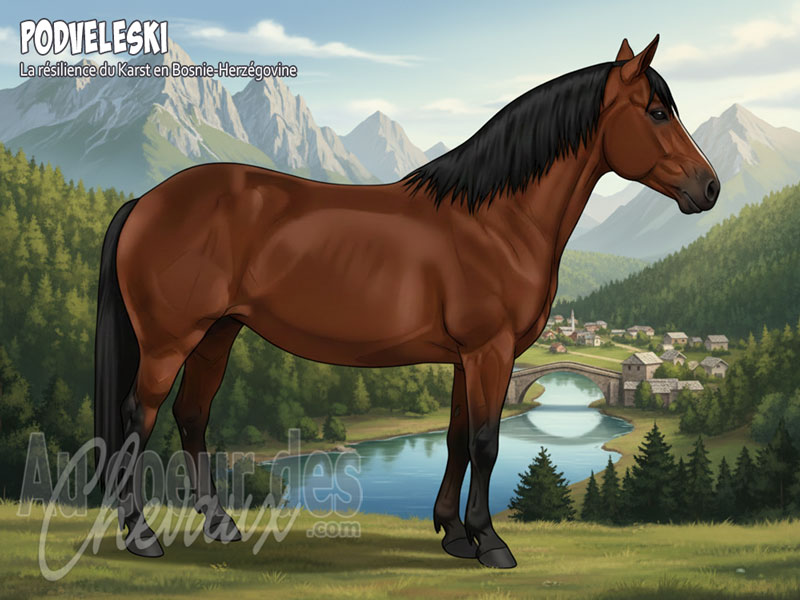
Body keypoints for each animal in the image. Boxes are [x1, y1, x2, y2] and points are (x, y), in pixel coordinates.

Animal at [94, 35, 718, 568]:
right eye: (656, 112)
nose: (709, 187)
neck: (497, 221)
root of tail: (146, 201)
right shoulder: (491, 352)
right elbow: (486, 443)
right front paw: (490, 542)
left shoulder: (469, 358)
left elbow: (457, 439)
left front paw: (454, 535)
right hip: (169, 340)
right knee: (140, 415)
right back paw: (141, 535)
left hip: (217, 334)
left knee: (192, 416)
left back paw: (219, 524)